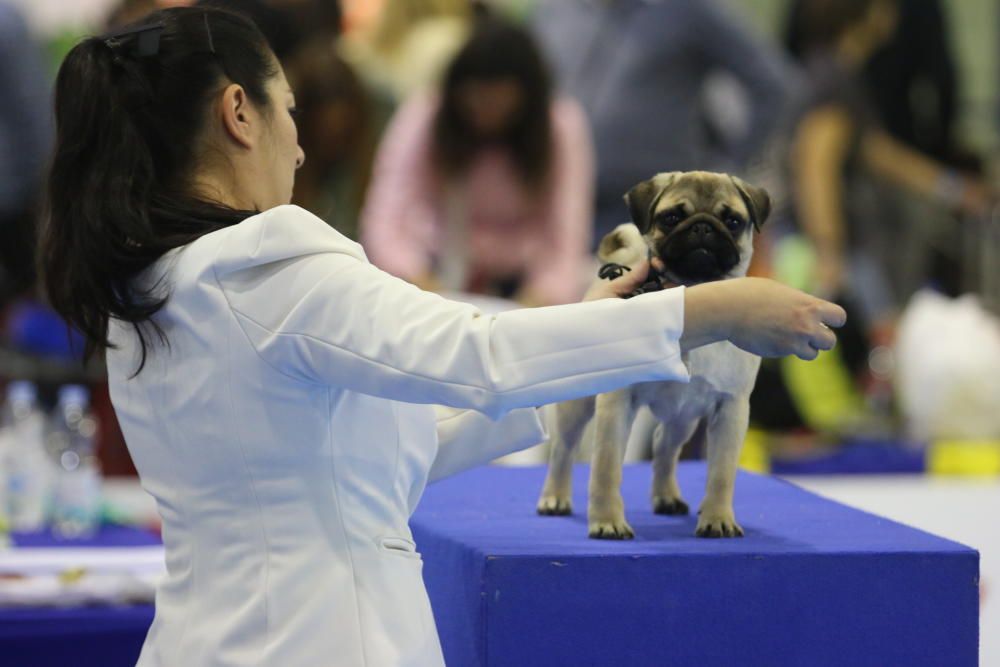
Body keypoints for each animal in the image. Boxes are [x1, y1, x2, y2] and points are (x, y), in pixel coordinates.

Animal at [536, 171, 768, 536]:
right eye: (671, 217)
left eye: (732, 221)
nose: (703, 227)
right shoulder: (616, 404)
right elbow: (606, 469)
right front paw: (607, 521)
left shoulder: (731, 409)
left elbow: (721, 474)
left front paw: (717, 517)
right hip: (576, 406)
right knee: (563, 450)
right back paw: (555, 498)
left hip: (683, 418)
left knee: (663, 448)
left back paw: (667, 497)